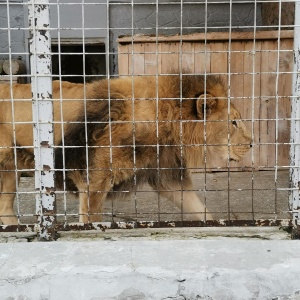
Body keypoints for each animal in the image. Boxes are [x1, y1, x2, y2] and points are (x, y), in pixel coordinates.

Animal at [54, 74, 253, 224]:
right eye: (234, 122)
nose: (252, 142)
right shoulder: (93, 184)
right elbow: (91, 221)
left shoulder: (167, 176)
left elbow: (199, 209)